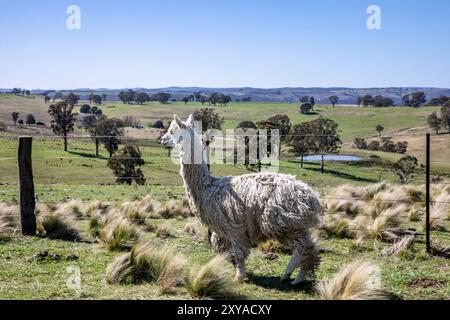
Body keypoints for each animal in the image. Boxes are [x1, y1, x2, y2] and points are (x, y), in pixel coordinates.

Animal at [160, 115, 322, 284]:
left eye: (172, 131)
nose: (162, 139)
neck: (206, 187)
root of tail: (310, 196)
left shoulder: (234, 227)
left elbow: (238, 252)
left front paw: (240, 276)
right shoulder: (221, 230)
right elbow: (222, 251)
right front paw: (236, 269)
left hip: (281, 222)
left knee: (303, 247)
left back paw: (289, 275)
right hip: (296, 224)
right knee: (312, 246)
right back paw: (300, 275)